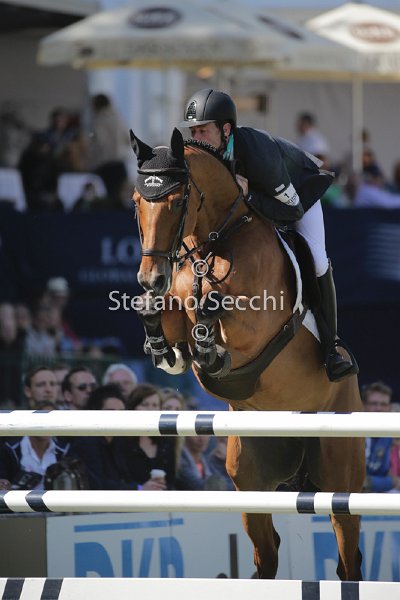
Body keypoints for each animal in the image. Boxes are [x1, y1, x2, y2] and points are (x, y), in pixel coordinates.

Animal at [130, 127, 365, 580]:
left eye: (177, 200)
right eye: (137, 201)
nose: (151, 278)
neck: (214, 239)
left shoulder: (256, 325)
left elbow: (215, 307)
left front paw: (209, 345)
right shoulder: (175, 314)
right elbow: (167, 330)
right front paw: (161, 334)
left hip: (340, 476)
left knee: (347, 554)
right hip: (251, 481)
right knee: (266, 555)